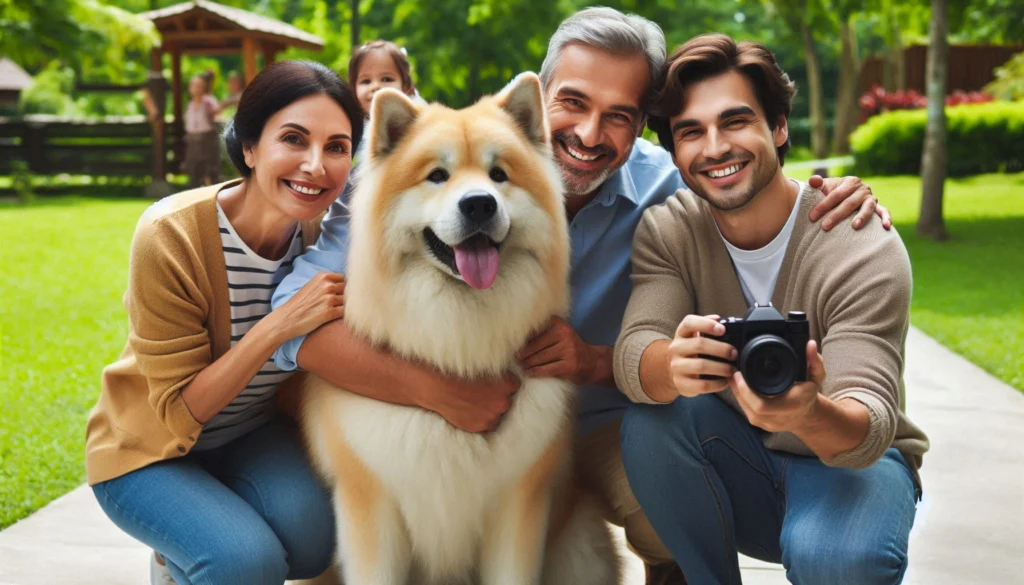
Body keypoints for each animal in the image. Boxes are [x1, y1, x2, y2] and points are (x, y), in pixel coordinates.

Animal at [299, 74, 618, 585]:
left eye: (499, 175)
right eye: (437, 176)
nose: (479, 205)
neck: (461, 350)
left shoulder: (518, 505)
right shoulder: (371, 505)